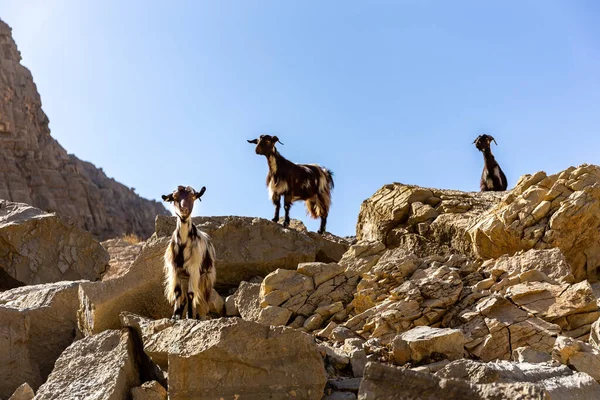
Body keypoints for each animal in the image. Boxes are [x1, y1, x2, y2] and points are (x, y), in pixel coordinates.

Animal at [161, 186, 217, 320]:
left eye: (193, 196)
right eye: (175, 197)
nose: (184, 210)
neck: (183, 244)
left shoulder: (194, 269)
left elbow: (191, 294)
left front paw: (190, 316)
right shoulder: (175, 270)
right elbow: (177, 292)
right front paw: (175, 315)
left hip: (206, 276)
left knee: (201, 298)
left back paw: (199, 315)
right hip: (185, 277)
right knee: (184, 297)